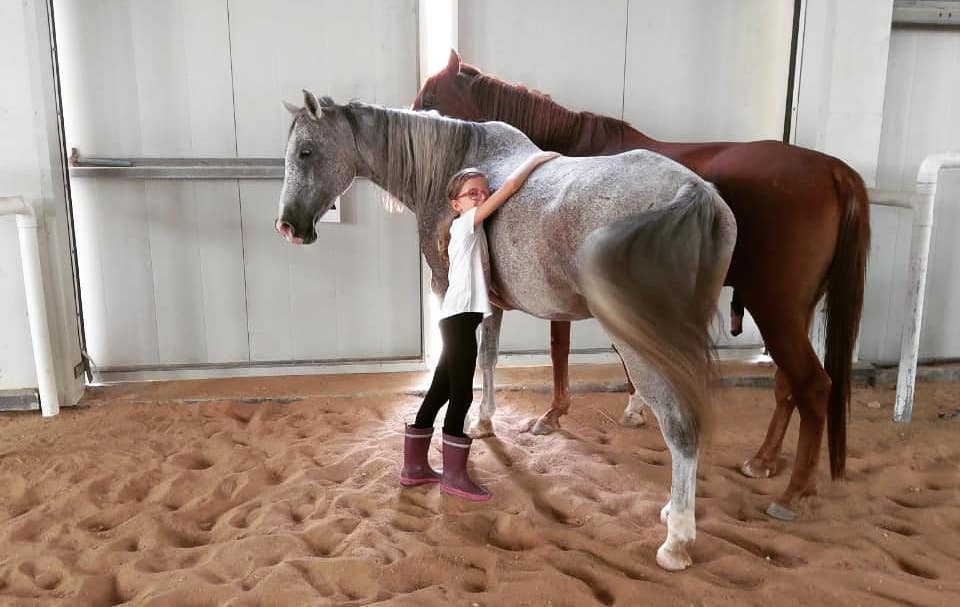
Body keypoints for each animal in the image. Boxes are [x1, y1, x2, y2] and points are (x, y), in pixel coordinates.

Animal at [278, 90, 736, 568]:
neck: (453, 166)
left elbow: (458, 361)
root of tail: (693, 192)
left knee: (680, 427)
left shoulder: (449, 293)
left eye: (305, 151)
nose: (288, 225)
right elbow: (488, 357)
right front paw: (483, 423)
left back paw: (676, 539)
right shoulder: (489, 303)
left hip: (642, 343)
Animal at [412, 50, 872, 520]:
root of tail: (835, 171)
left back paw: (793, 492)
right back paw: (764, 461)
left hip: (774, 308)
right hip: (795, 311)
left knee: (812, 386)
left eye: (430, 98)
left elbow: (562, 349)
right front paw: (634, 407)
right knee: (787, 384)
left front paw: (555, 414)